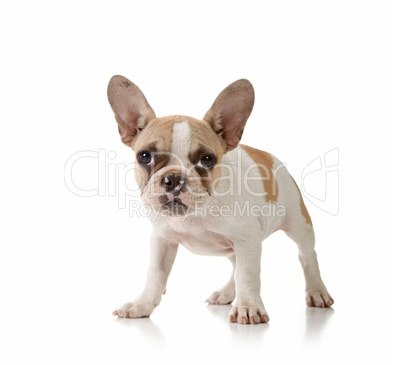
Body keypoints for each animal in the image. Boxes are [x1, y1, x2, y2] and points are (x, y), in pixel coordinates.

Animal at [107, 75, 332, 322]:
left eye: (206, 160)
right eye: (145, 156)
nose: (174, 178)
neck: (197, 213)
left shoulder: (247, 241)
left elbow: (247, 275)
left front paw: (248, 307)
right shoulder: (162, 239)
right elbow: (155, 274)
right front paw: (142, 304)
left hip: (299, 224)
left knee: (307, 256)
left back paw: (317, 291)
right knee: (235, 265)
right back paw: (226, 293)